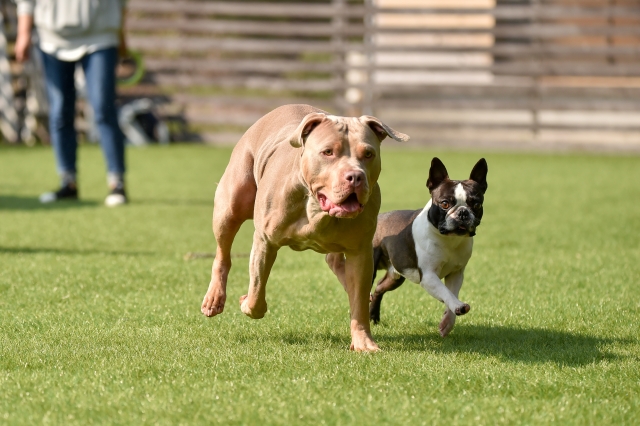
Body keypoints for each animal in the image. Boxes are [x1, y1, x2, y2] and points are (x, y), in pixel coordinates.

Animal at [202, 104, 408, 352]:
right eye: (328, 152)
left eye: (368, 154)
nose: (355, 176)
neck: (316, 208)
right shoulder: (265, 242)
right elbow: (256, 294)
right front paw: (245, 302)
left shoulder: (361, 251)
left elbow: (359, 304)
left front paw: (364, 343)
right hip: (230, 205)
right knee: (223, 254)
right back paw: (214, 298)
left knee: (336, 262)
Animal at [368, 158, 488, 338]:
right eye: (445, 204)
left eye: (476, 204)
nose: (462, 212)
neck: (449, 239)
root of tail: (379, 217)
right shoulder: (429, 276)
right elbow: (445, 292)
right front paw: (458, 306)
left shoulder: (456, 274)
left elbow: (452, 293)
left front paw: (447, 322)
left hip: (395, 276)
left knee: (379, 289)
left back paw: (373, 318)